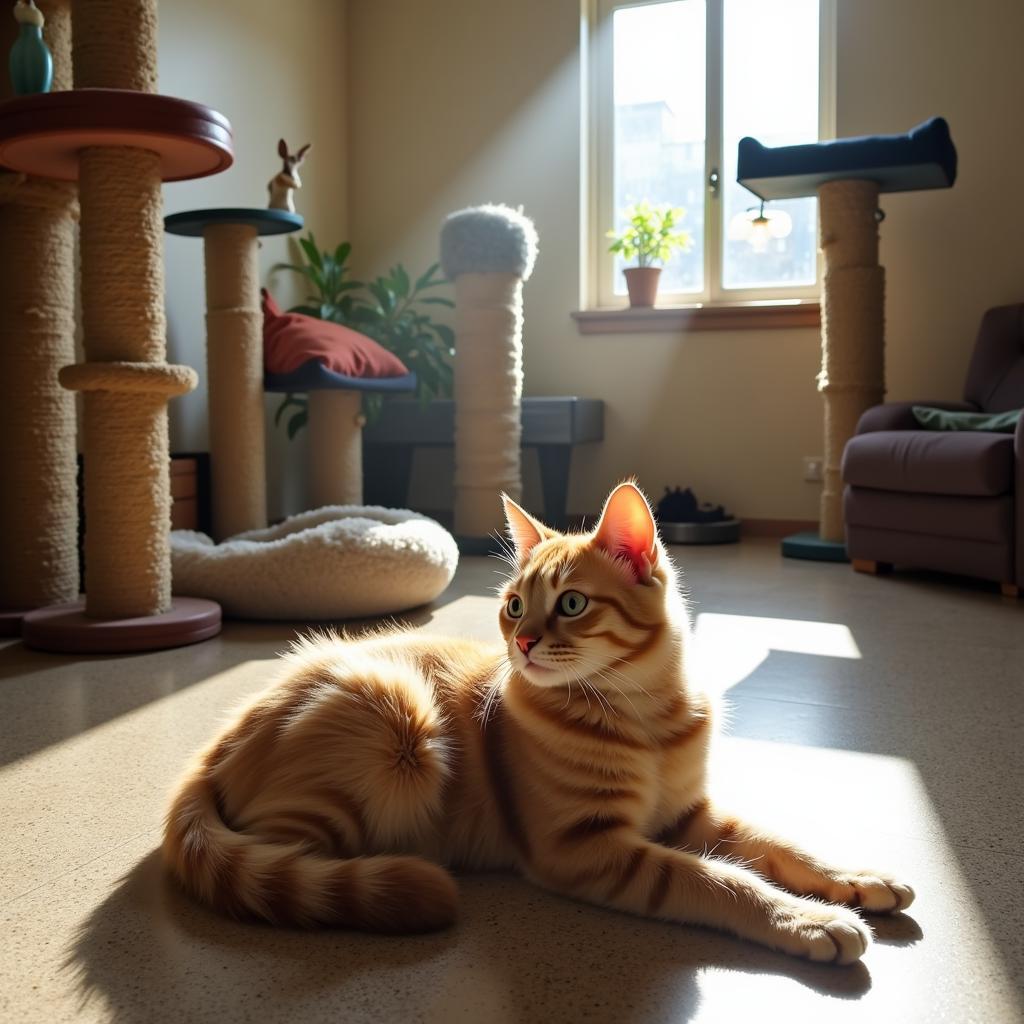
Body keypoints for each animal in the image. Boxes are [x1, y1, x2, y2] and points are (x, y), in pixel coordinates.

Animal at [163, 479, 917, 958]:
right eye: (515, 606)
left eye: (573, 604)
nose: (522, 643)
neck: (646, 716)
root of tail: (210, 751)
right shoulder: (586, 847)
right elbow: (717, 878)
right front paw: (807, 919)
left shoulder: (688, 813)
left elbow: (780, 843)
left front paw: (858, 878)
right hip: (394, 720)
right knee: (287, 862)